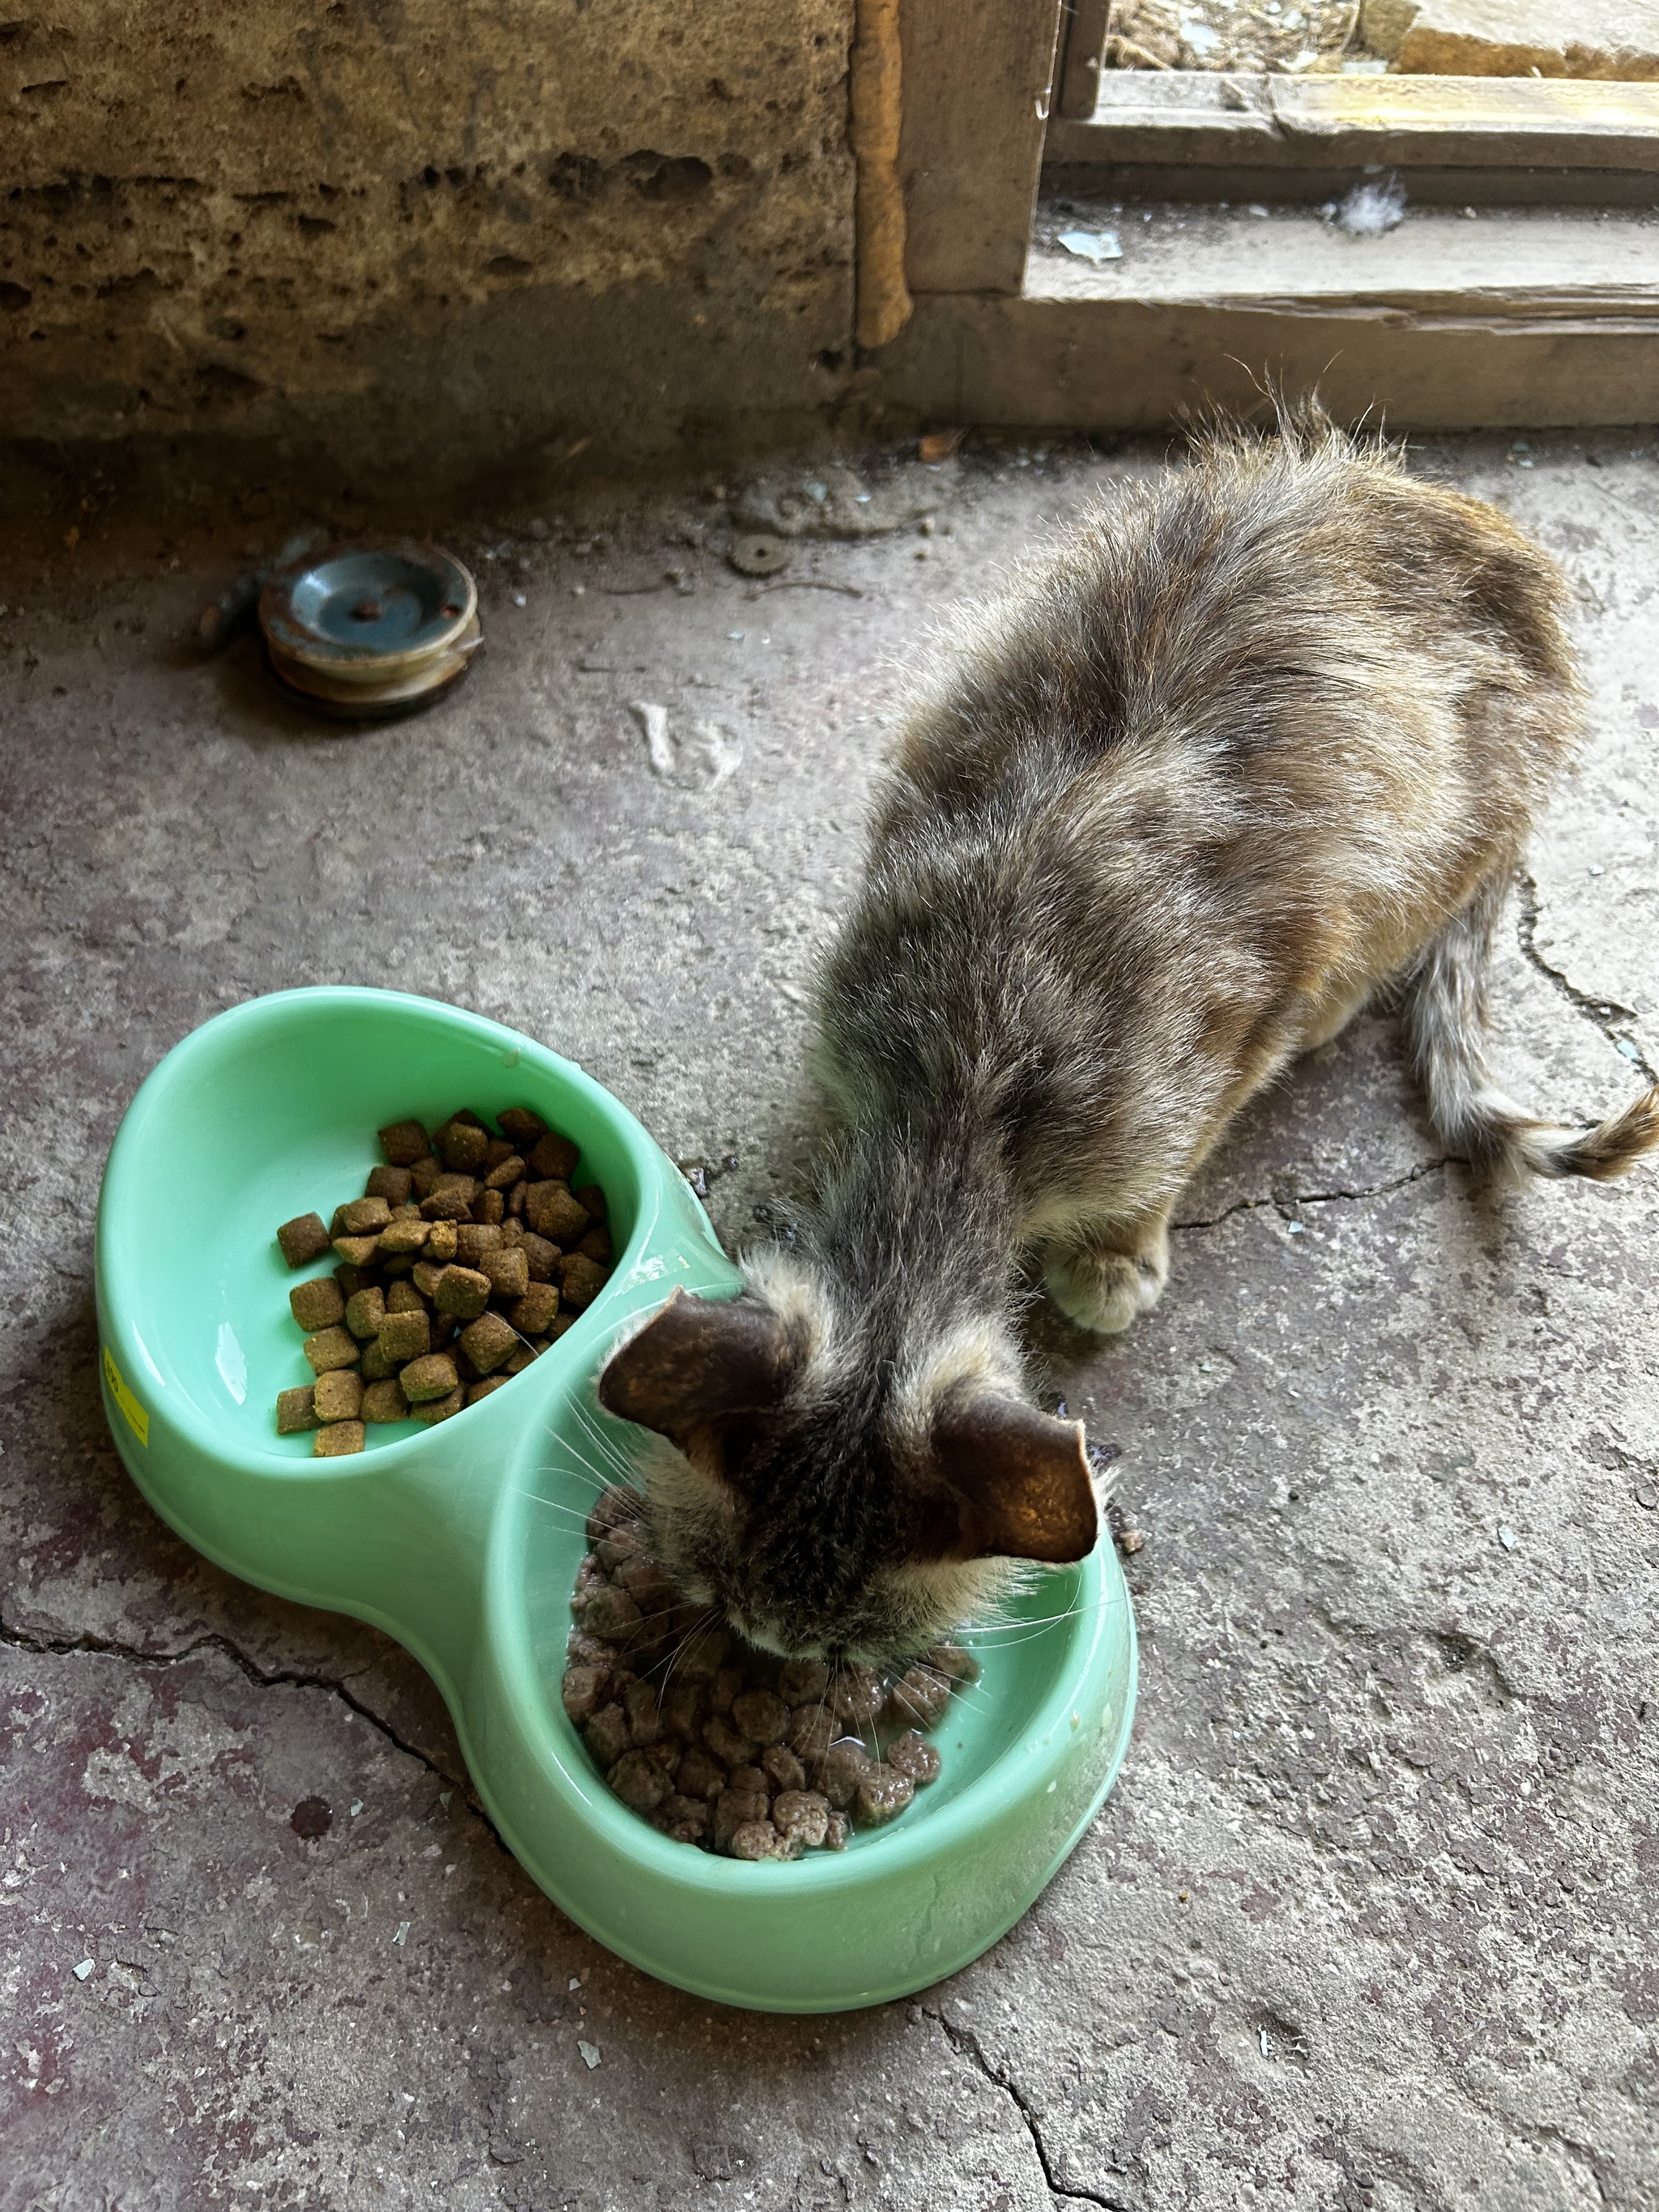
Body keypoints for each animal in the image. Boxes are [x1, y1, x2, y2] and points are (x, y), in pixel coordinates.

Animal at [597, 411, 1659, 1663]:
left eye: (853, 1654)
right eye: (722, 1605)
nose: (762, 1656)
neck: (972, 1071)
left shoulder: (1237, 1022)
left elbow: (1189, 1133)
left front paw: (1117, 1251)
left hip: (1444, 831)